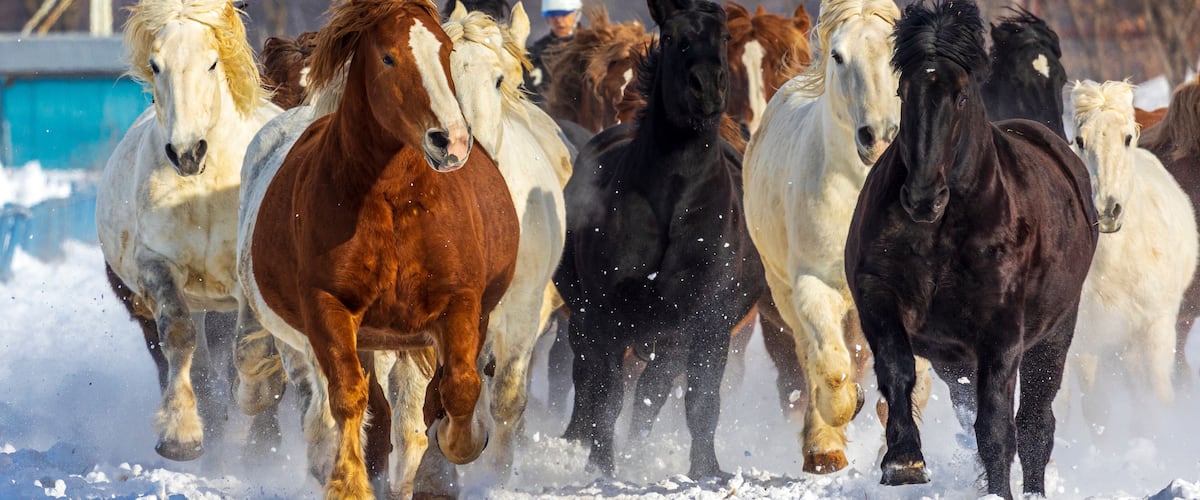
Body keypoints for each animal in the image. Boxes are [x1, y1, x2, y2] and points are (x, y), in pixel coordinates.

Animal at [95, 0, 281, 463]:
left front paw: (255, 397)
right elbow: (179, 339)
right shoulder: (158, 267)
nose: (186, 152)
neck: (205, 188)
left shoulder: (247, 275)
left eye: (212, 62)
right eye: (155, 65)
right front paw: (181, 435)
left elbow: (252, 350)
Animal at [235, 0, 520, 497]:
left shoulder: (460, 303)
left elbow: (459, 387)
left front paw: (456, 447)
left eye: (444, 52)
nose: (451, 140)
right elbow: (351, 398)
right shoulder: (328, 307)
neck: (394, 201)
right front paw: (349, 482)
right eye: (388, 57)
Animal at [554, 0, 764, 479]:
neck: (673, 202)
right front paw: (601, 466)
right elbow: (606, 394)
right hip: (585, 318)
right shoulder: (606, 313)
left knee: (655, 388)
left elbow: (701, 400)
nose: (706, 86)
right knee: (586, 377)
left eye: (724, 36)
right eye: (670, 37)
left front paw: (706, 470)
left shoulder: (708, 320)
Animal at [741, 0, 901, 474]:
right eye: (838, 56)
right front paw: (836, 424)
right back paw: (822, 445)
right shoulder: (813, 284)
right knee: (810, 356)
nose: (878, 137)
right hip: (782, 292)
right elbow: (829, 367)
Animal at [1067, 80, 1197, 430]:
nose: (1106, 210)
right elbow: (1096, 409)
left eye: (1126, 138)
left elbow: (1159, 398)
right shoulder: (1084, 339)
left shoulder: (1158, 327)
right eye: (1080, 140)